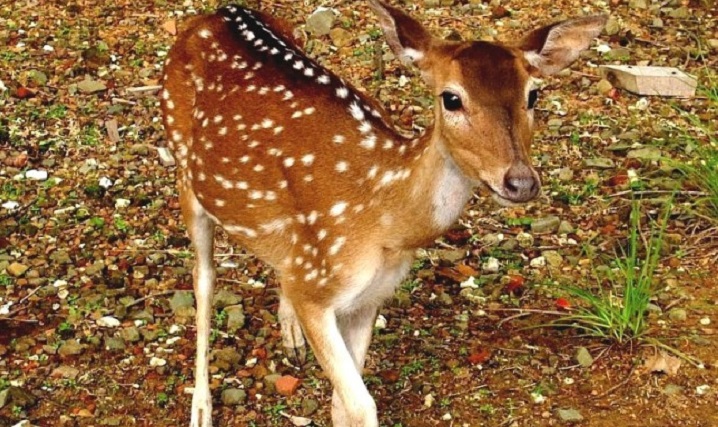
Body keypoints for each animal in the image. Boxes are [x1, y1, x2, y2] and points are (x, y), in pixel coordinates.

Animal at [160, 1, 606, 425]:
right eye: (451, 98)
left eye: (533, 95)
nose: (521, 181)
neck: (385, 222)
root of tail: (218, 13)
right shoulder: (315, 285)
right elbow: (360, 407)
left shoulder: (367, 296)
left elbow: (341, 408)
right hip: (185, 170)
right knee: (203, 279)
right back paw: (200, 407)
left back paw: (289, 333)